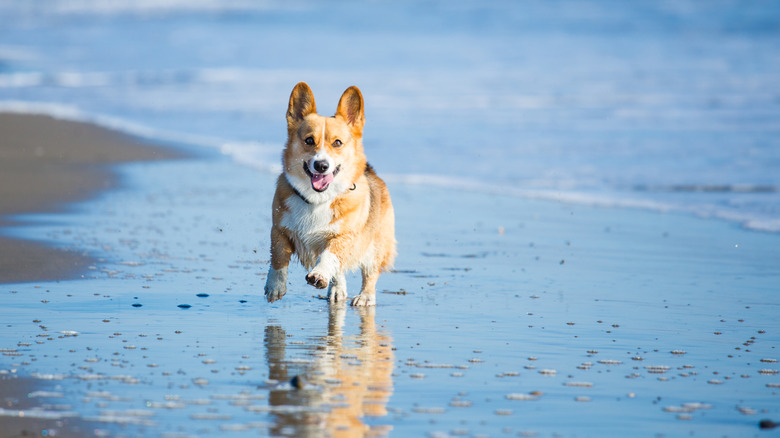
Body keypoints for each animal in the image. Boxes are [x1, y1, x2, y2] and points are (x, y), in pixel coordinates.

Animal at [266, 83, 396, 308]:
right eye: (309, 140)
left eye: (337, 143)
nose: (321, 165)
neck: (316, 199)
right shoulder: (279, 230)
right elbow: (279, 258)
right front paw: (275, 287)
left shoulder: (345, 236)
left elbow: (329, 256)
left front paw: (318, 275)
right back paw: (337, 290)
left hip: (375, 246)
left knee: (370, 274)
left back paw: (364, 297)